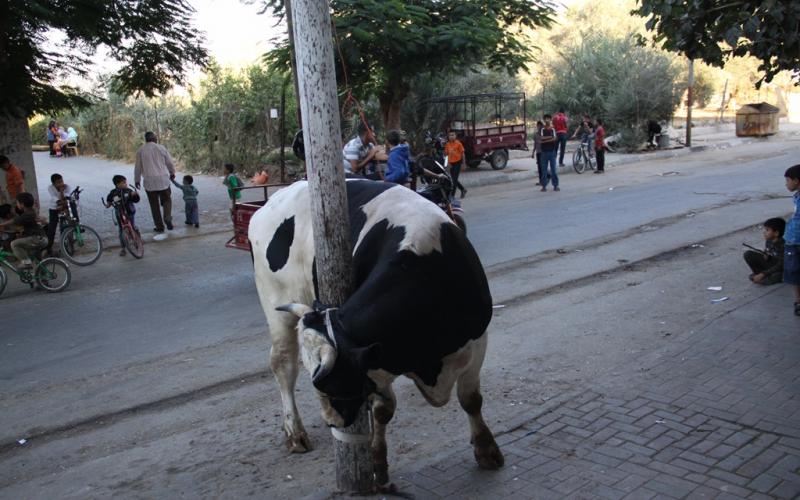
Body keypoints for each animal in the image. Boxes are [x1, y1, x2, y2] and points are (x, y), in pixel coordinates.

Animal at [248, 179, 500, 484]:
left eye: (333, 384)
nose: (331, 421)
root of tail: (273, 200)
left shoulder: (477, 341)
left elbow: (471, 400)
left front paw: (487, 450)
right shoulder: (377, 360)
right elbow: (383, 411)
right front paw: (378, 463)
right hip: (275, 302)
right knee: (283, 364)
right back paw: (295, 433)